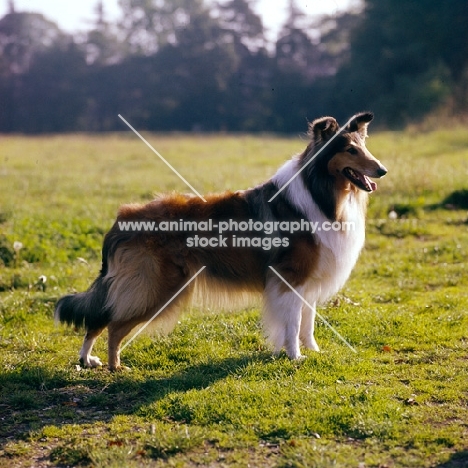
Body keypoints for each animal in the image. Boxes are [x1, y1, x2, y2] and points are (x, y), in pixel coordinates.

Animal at [54, 110, 386, 370]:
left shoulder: (308, 281)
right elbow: (292, 324)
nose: (382, 170)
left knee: (98, 317)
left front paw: (313, 351)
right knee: (112, 323)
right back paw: (115, 366)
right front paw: (295, 357)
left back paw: (87, 360)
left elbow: (308, 322)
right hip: (156, 286)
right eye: (350, 150)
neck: (321, 191)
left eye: (363, 146)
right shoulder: (290, 278)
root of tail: (122, 218)